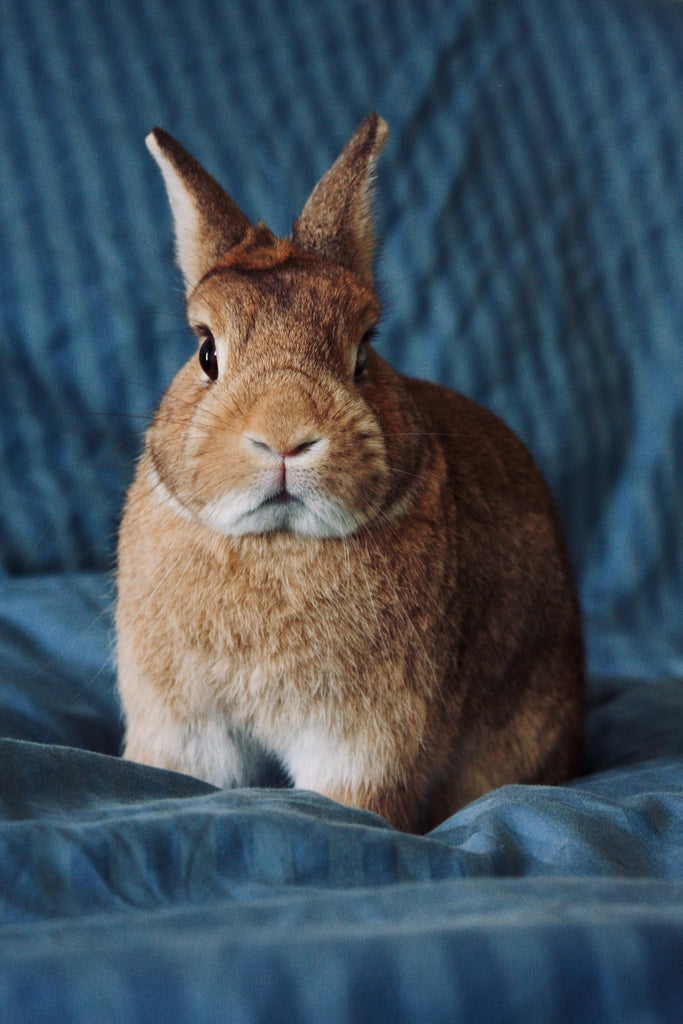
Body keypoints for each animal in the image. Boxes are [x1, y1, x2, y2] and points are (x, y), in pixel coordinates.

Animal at [116, 112, 581, 831]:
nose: (284, 434)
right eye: (205, 352)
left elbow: (353, 797)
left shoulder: (368, 737)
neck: (277, 544)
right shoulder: (186, 722)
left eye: (364, 351)